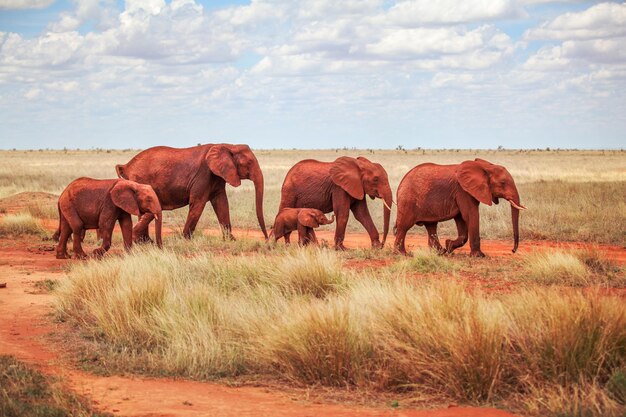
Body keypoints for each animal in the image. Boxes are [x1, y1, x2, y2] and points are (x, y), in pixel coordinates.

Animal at [114, 143, 266, 240]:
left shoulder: (217, 177)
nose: (266, 239)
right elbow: (198, 203)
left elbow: (221, 203)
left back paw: (145, 242)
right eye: (249, 163)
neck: (228, 145)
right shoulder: (204, 175)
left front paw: (231, 240)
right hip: (140, 180)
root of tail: (126, 166)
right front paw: (186, 239)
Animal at [392, 158, 524, 256]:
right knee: (404, 226)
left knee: (431, 226)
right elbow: (470, 215)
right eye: (503, 183)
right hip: (408, 201)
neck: (484, 166)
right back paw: (402, 254)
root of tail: (401, 182)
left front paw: (449, 246)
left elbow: (461, 219)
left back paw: (440, 252)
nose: (513, 250)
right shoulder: (463, 191)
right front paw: (479, 256)